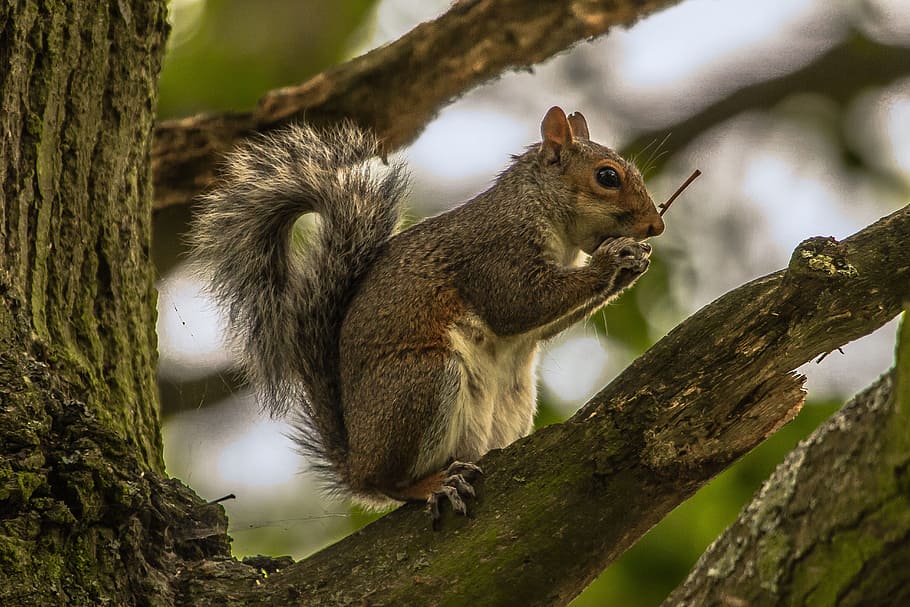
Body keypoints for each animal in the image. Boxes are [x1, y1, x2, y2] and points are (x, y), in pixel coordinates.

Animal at [190, 106, 664, 517]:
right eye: (607, 176)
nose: (655, 226)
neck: (542, 211)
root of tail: (356, 461)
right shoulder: (496, 251)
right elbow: (517, 305)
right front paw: (612, 260)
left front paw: (633, 264)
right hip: (422, 381)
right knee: (390, 483)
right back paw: (432, 484)